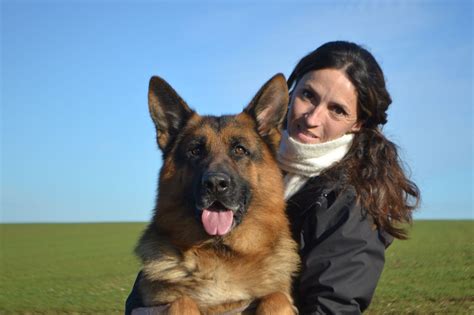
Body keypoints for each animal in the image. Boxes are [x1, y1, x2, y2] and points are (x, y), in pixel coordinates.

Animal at [135, 74, 300, 315]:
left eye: (239, 150)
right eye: (195, 151)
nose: (215, 184)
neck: (220, 251)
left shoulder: (278, 295)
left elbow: (276, 297)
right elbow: (182, 302)